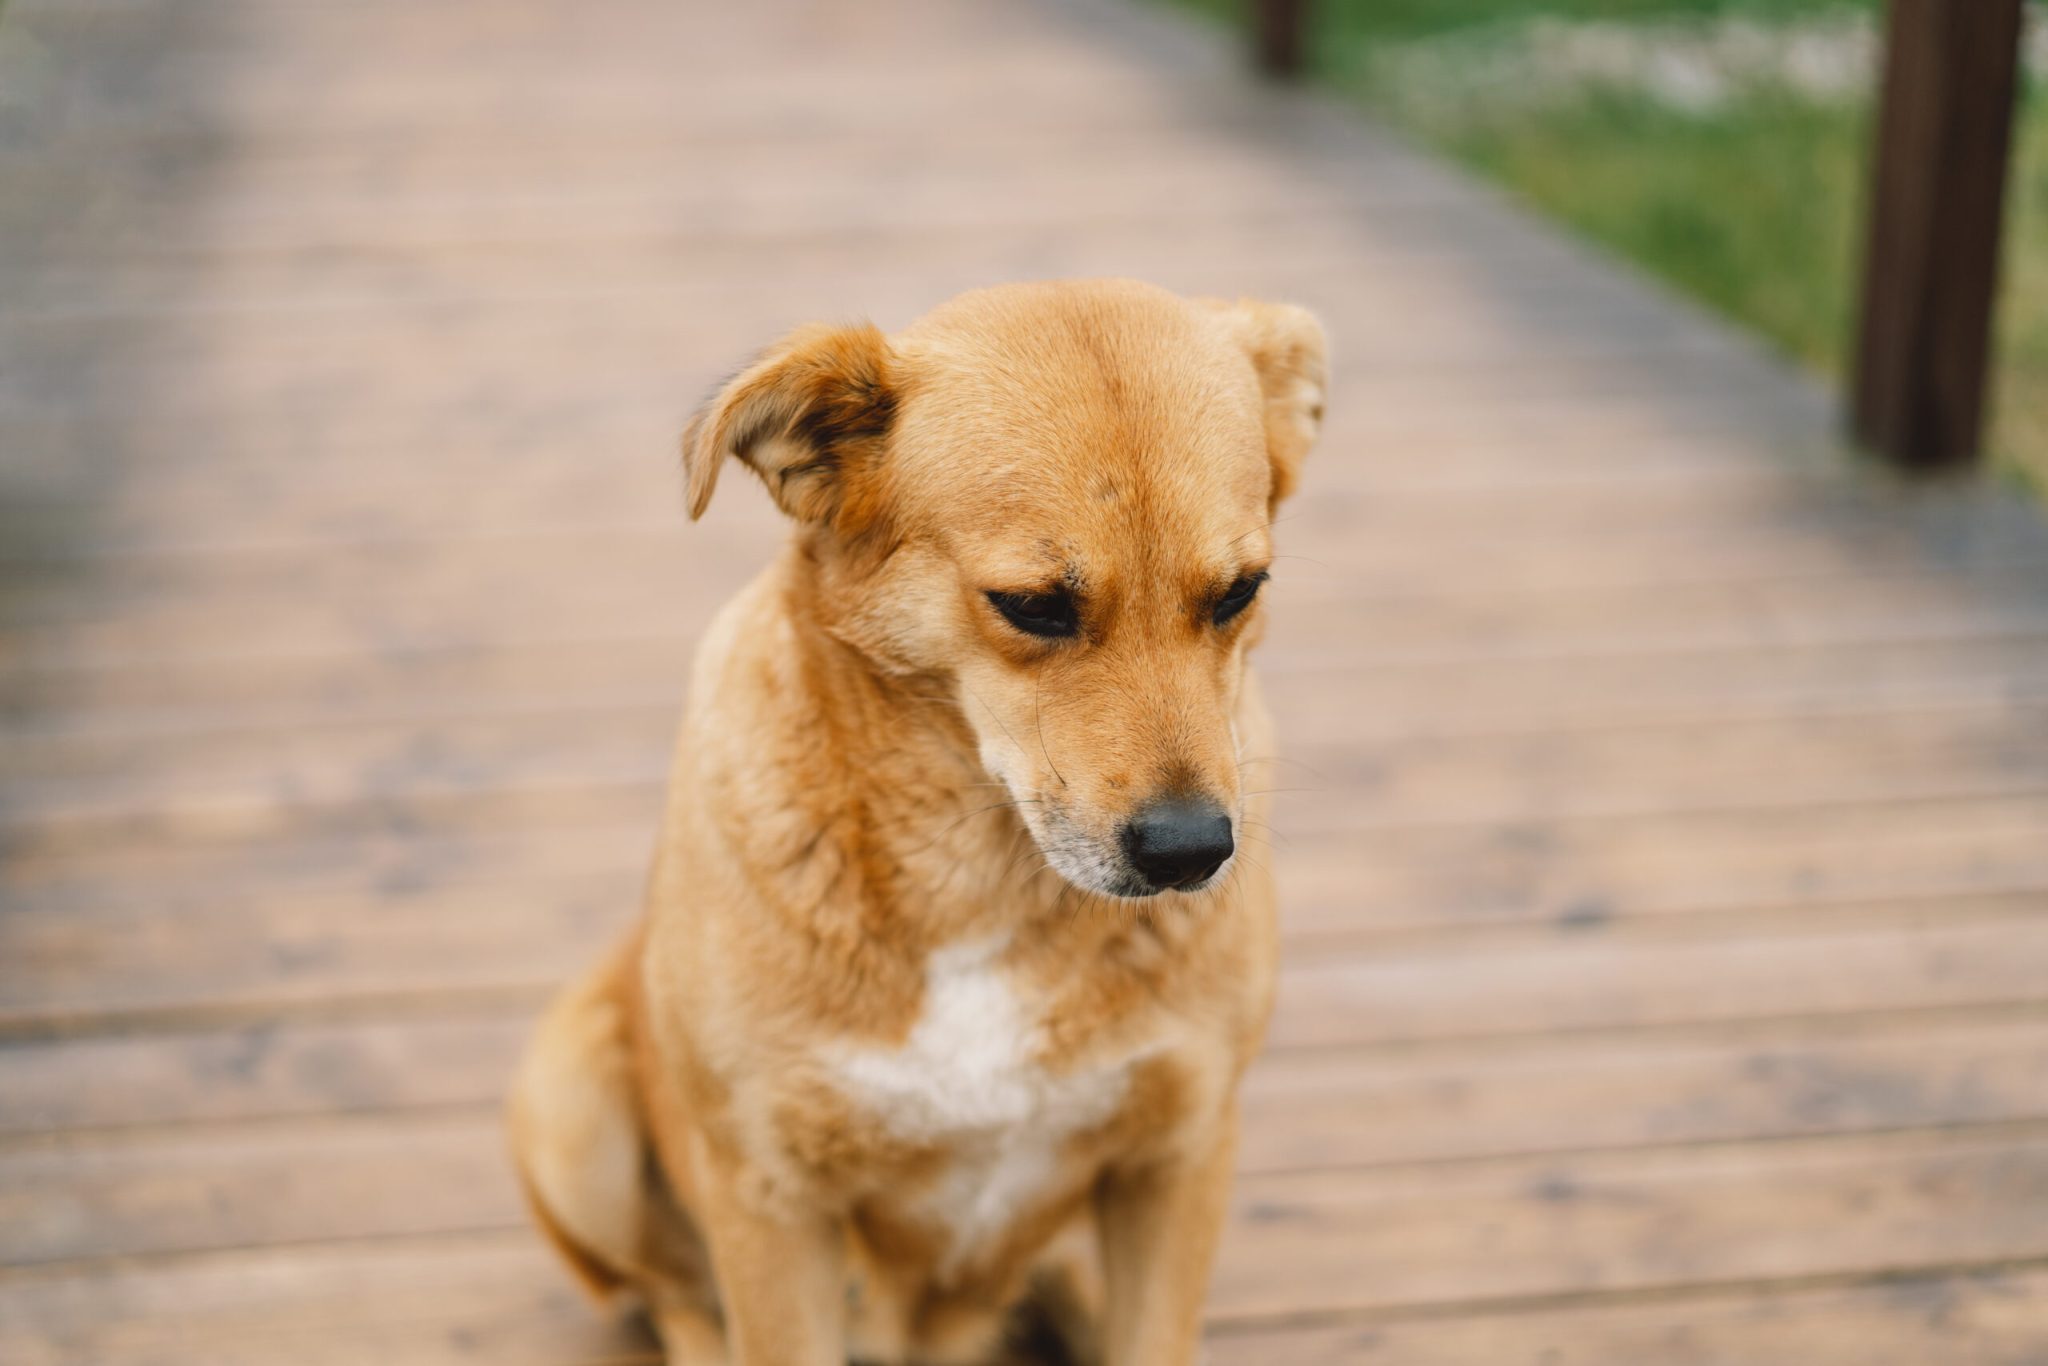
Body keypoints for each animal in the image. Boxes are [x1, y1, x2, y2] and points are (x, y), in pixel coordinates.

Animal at [503, 280, 1318, 1366]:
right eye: (1032, 607)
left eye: (1239, 593)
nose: (1191, 851)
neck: (983, 874)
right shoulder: (770, 1200)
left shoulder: (1178, 1155)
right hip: (569, 1102)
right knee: (669, 1296)